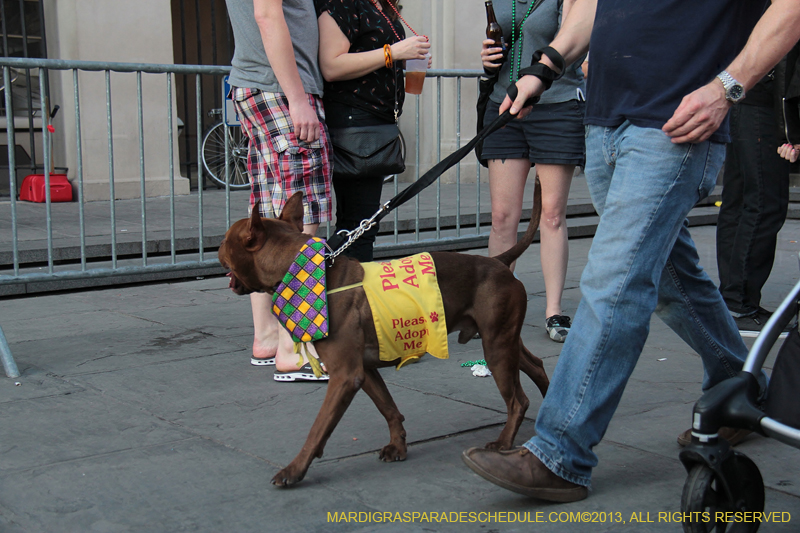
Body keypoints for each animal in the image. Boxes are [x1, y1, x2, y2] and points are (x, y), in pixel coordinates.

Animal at [222, 186, 552, 486]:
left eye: (226, 240)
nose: (219, 248)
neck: (304, 272)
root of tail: (499, 261)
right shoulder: (364, 370)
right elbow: (389, 408)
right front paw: (398, 445)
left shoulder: (345, 376)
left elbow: (317, 429)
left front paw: (295, 469)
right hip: (504, 340)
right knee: (537, 365)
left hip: (496, 347)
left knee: (517, 401)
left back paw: (504, 443)